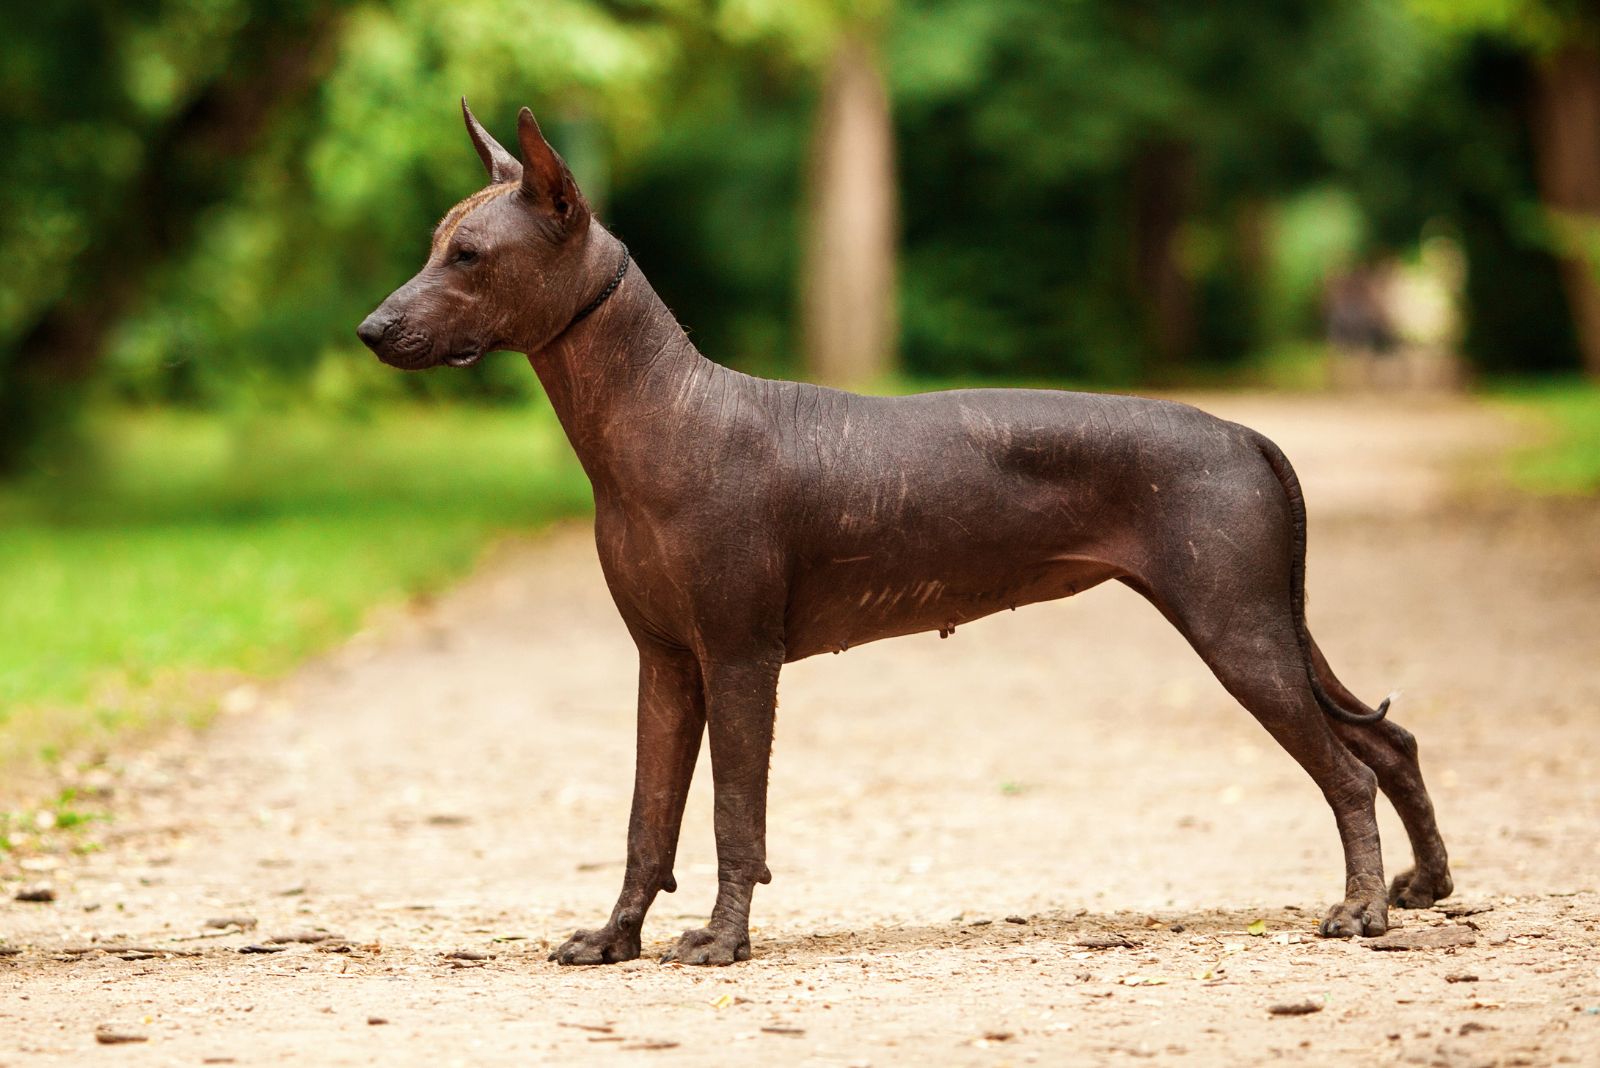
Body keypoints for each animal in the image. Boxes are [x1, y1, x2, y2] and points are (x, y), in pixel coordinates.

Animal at [360, 102, 1452, 965]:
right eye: (430, 244)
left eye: (468, 257)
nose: (370, 330)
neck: (664, 413)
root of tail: (1247, 434)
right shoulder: (666, 663)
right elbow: (646, 819)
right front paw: (615, 936)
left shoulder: (741, 658)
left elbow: (732, 815)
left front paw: (723, 940)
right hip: (1269, 623)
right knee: (1388, 740)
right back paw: (1424, 887)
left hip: (1236, 629)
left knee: (1350, 769)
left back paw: (1362, 910)